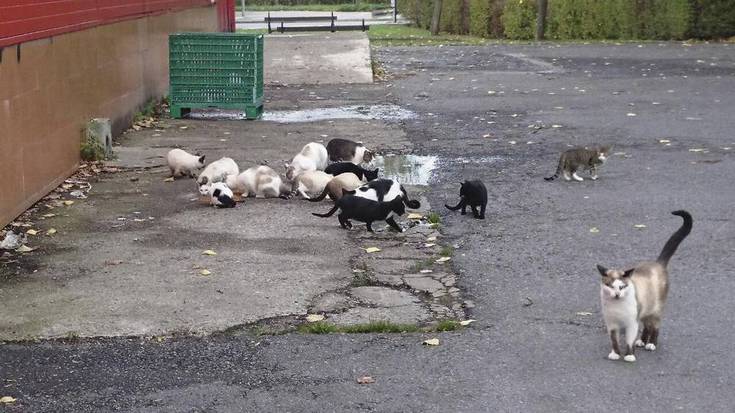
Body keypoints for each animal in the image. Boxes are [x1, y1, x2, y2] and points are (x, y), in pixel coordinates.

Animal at [600, 211, 696, 362]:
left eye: (622, 287)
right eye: (610, 286)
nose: (616, 295)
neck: (617, 307)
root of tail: (658, 263)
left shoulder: (632, 323)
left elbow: (629, 341)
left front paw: (629, 356)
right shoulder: (612, 325)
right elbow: (614, 340)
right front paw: (615, 354)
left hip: (656, 310)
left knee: (655, 327)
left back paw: (651, 344)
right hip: (646, 310)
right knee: (647, 326)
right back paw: (642, 341)